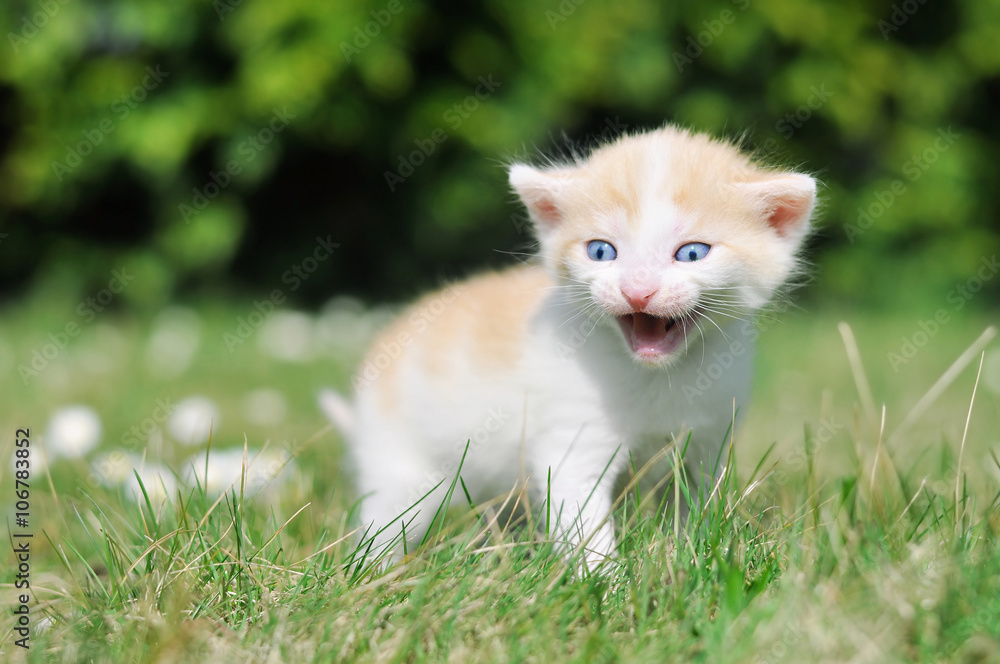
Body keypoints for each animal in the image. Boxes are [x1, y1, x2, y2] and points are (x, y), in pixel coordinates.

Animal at [324, 123, 816, 564]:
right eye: (601, 251)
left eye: (692, 253)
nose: (638, 291)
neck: (660, 376)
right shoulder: (572, 442)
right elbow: (583, 524)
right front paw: (608, 587)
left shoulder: (706, 443)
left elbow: (693, 508)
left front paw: (690, 557)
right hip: (401, 468)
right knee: (388, 522)